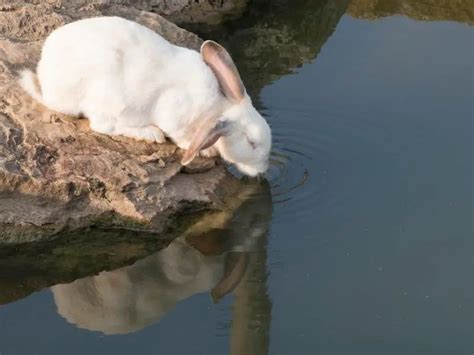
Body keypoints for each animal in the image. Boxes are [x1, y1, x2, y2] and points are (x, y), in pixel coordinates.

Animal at [19, 15, 270, 177]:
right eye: (251, 142)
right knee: (102, 126)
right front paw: (205, 150)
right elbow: (182, 138)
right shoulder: (174, 117)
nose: (263, 169)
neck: (217, 109)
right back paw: (151, 134)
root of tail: (46, 80)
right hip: (105, 97)